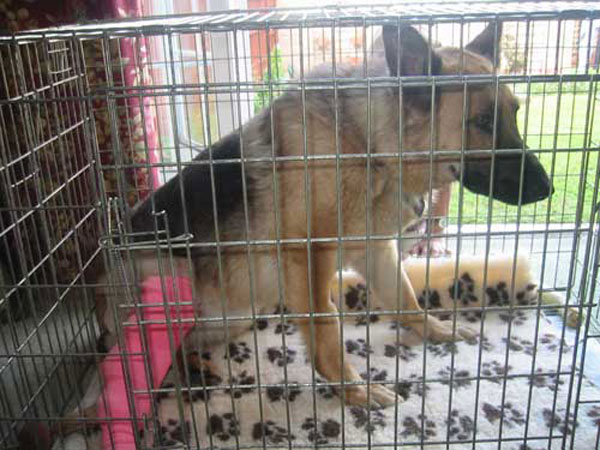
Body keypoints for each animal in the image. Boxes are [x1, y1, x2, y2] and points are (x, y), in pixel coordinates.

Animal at [28, 22, 552, 450]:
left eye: (515, 113)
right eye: (481, 122)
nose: (546, 189)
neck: (367, 144)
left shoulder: (377, 251)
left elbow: (405, 297)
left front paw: (436, 330)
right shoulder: (309, 257)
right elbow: (327, 329)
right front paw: (352, 390)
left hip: (237, 312)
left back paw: (194, 364)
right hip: (172, 289)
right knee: (134, 367)